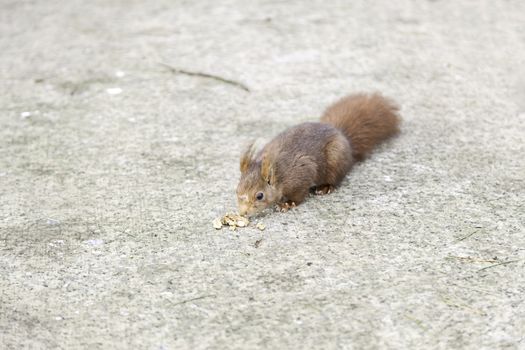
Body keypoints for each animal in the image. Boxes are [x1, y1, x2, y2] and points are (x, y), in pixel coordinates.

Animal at [235, 93, 400, 216]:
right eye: (237, 190)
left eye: (259, 195)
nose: (243, 213)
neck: (278, 173)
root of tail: (344, 138)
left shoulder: (301, 173)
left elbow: (299, 194)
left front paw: (288, 203)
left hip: (335, 159)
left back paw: (325, 187)